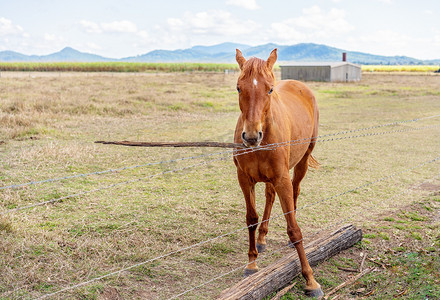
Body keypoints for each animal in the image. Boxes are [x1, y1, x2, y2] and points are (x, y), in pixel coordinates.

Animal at [234, 49, 324, 298]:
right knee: (270, 197)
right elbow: (251, 219)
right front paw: (252, 263)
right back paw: (263, 238)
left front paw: (310, 280)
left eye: (270, 89)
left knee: (295, 191)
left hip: (301, 162)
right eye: (239, 88)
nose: (251, 136)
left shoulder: (282, 178)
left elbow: (294, 228)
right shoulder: (245, 179)